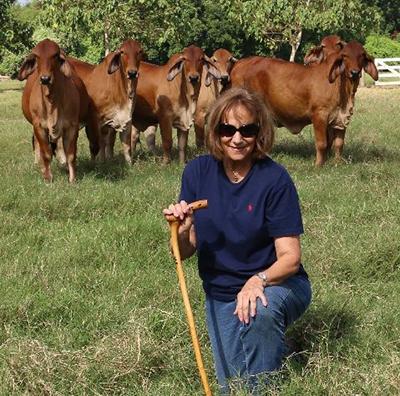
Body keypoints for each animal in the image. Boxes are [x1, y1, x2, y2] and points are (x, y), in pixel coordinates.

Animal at [18, 39, 100, 182]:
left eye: (55, 55)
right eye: (36, 56)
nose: (45, 78)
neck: (52, 102)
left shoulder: (72, 126)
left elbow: (71, 154)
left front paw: (72, 179)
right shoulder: (38, 126)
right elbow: (46, 153)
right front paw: (47, 178)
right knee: (38, 144)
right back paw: (40, 165)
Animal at [230, 39, 376, 164]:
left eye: (362, 55)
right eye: (345, 55)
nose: (354, 72)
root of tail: (239, 64)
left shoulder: (341, 119)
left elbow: (339, 143)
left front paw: (337, 163)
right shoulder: (319, 115)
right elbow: (322, 143)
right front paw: (318, 165)